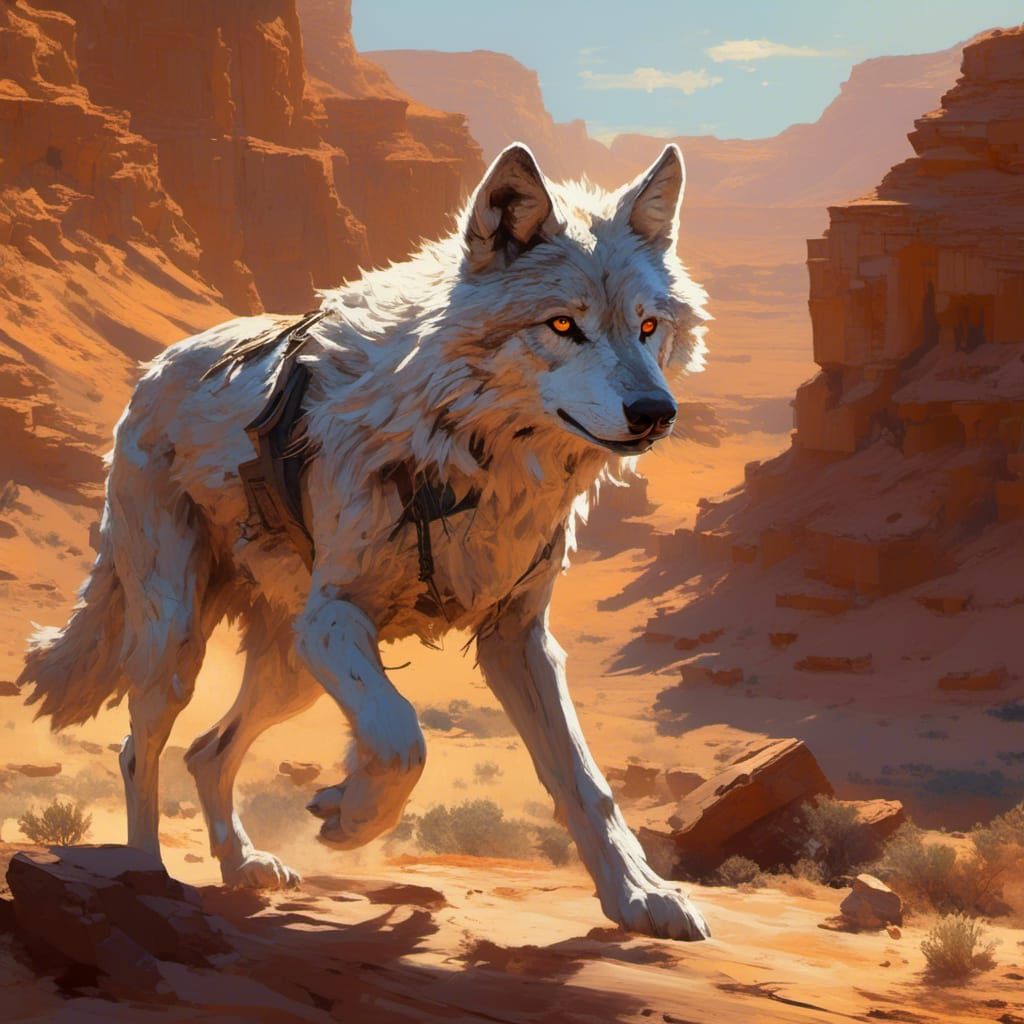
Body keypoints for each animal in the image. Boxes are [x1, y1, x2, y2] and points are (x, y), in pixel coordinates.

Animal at [19, 143, 710, 939]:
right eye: (564, 326)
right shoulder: (336, 616)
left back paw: (242, 864)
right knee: (142, 751)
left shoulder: (517, 637)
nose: (655, 412)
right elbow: (403, 737)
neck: (468, 455)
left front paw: (640, 897)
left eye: (649, 327)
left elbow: (582, 779)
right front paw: (351, 820)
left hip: (289, 669)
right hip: (180, 641)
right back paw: (146, 873)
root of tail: (156, 367)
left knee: (206, 752)